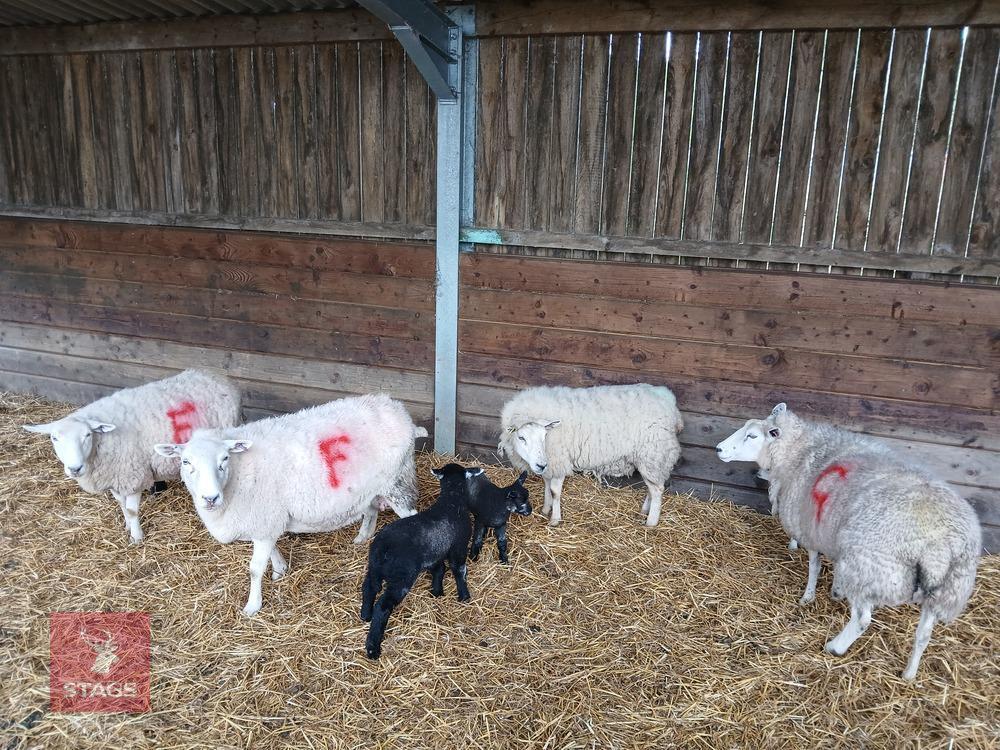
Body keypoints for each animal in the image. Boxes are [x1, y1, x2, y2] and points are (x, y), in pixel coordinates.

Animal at [23, 369, 241, 544]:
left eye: (87, 435)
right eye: (54, 438)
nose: (74, 469)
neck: (102, 443)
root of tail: (216, 375)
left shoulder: (134, 475)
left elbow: (132, 510)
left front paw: (136, 537)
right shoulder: (114, 476)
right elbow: (121, 503)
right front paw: (127, 526)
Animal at [154, 394, 425, 616]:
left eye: (225, 459)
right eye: (185, 462)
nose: (210, 498)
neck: (239, 474)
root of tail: (395, 407)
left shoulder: (263, 518)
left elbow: (254, 569)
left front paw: (253, 606)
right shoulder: (266, 521)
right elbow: (271, 550)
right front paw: (280, 570)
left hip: (398, 481)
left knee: (411, 517)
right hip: (368, 488)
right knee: (370, 511)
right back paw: (362, 537)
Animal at [360, 463, 477, 659]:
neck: (451, 501)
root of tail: (384, 546)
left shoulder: (433, 552)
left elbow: (439, 568)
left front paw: (437, 591)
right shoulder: (459, 546)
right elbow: (458, 569)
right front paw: (464, 596)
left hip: (374, 567)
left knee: (369, 587)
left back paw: (365, 614)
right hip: (402, 577)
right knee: (383, 606)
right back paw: (373, 647)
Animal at [497, 384, 683, 527]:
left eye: (544, 436)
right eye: (521, 437)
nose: (540, 465)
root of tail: (669, 400)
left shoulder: (559, 460)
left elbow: (555, 491)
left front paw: (555, 519)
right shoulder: (550, 464)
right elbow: (546, 486)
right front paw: (545, 509)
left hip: (653, 453)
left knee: (657, 489)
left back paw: (651, 522)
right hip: (649, 458)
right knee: (652, 487)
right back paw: (644, 511)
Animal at [717, 403, 983, 680]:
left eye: (752, 436)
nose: (719, 449)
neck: (801, 451)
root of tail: (940, 543)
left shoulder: (812, 527)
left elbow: (814, 566)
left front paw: (808, 597)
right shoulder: (832, 533)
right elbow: (832, 565)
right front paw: (835, 591)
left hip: (868, 568)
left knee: (863, 619)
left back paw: (835, 646)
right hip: (945, 589)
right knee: (924, 633)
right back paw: (909, 674)